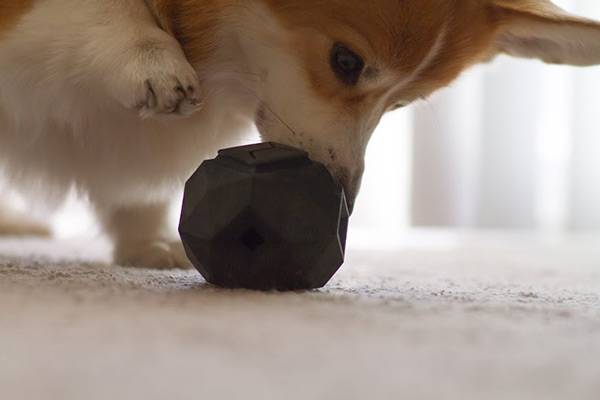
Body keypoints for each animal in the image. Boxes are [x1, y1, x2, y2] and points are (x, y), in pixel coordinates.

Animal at [1, 0, 599, 268]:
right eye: (345, 61)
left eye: (401, 102)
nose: (345, 200)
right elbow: (100, 12)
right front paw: (148, 56)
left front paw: (146, 245)